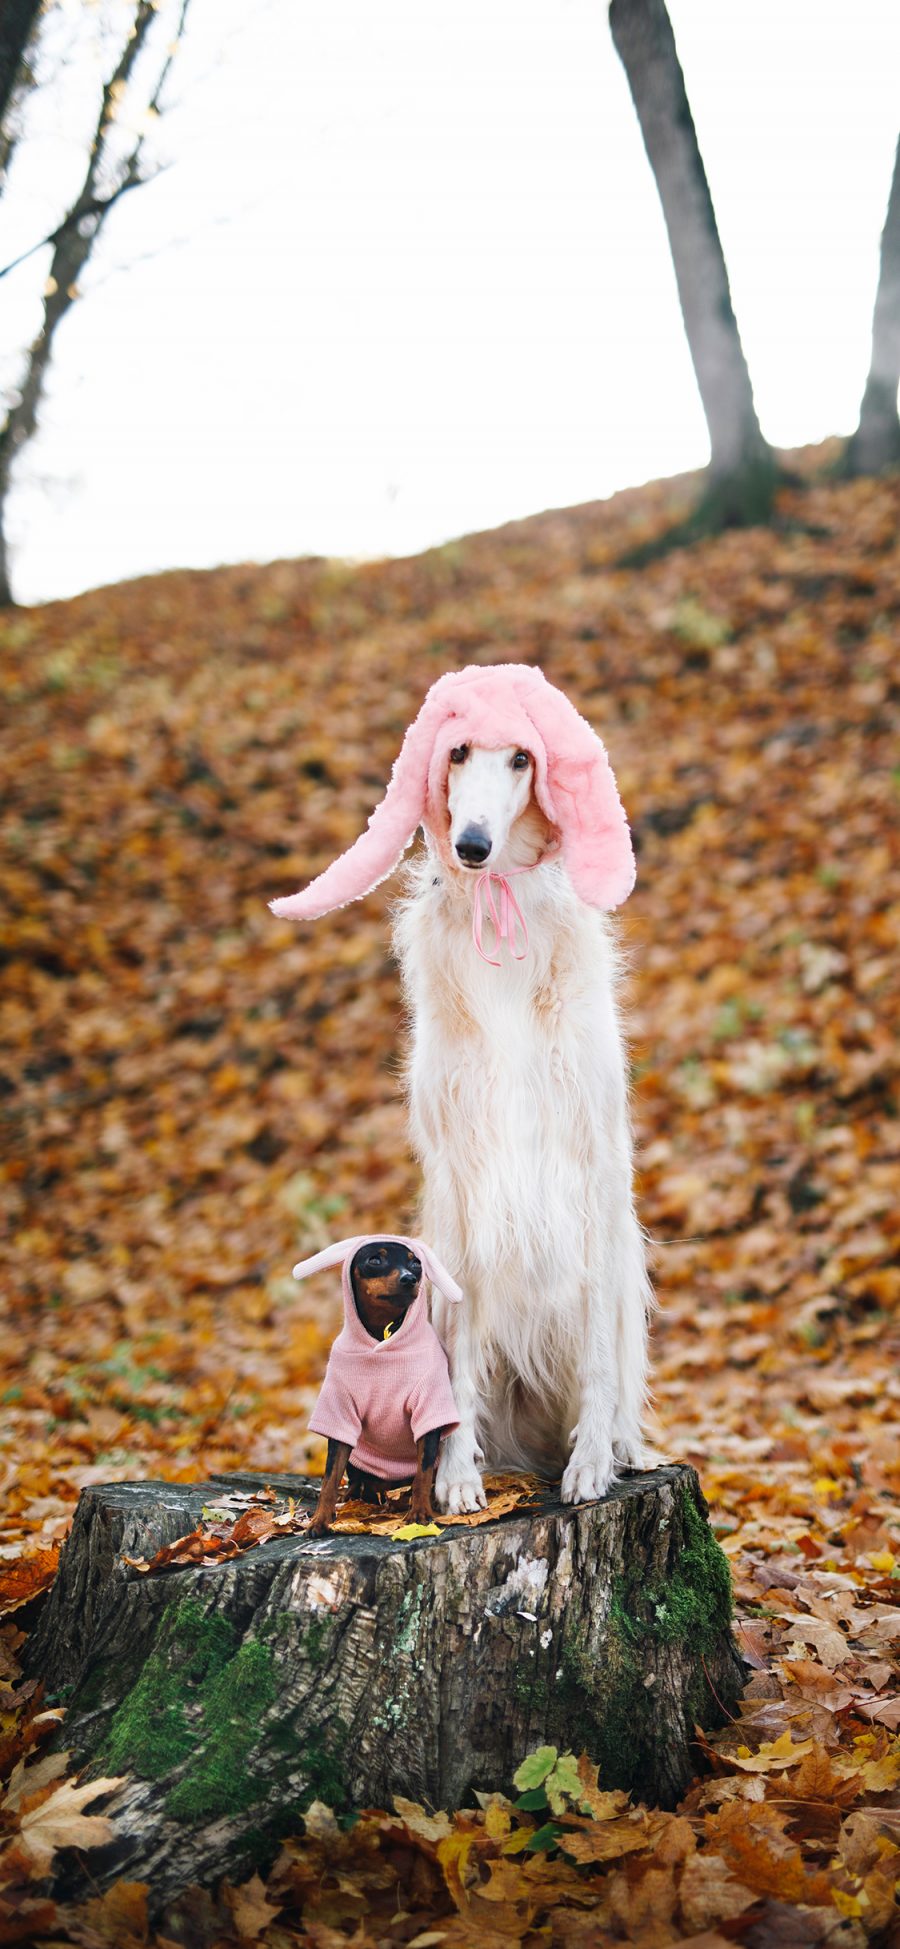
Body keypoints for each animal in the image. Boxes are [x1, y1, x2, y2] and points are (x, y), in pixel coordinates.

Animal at [309, 1247, 446, 1535]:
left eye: (416, 1264)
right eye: (375, 1260)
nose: (409, 1278)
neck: (382, 1338)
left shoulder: (429, 1412)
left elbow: (423, 1471)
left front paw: (420, 1512)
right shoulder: (340, 1417)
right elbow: (329, 1477)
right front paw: (319, 1520)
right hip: (356, 1453)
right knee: (357, 1481)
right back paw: (351, 1496)